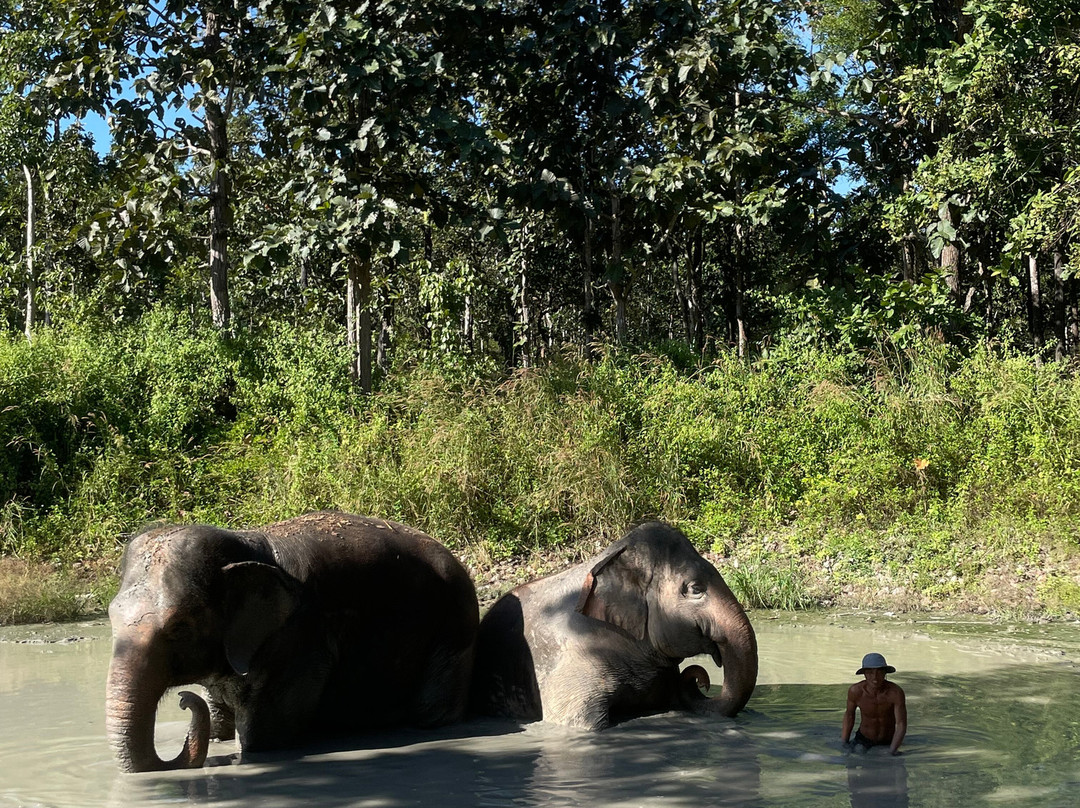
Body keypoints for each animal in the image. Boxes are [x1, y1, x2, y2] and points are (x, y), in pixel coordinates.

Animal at [106, 511, 479, 772]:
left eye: (179, 627)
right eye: (111, 618)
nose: (185, 700)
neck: (247, 545)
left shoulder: (301, 638)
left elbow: (261, 739)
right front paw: (218, 734)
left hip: (453, 629)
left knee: (430, 711)